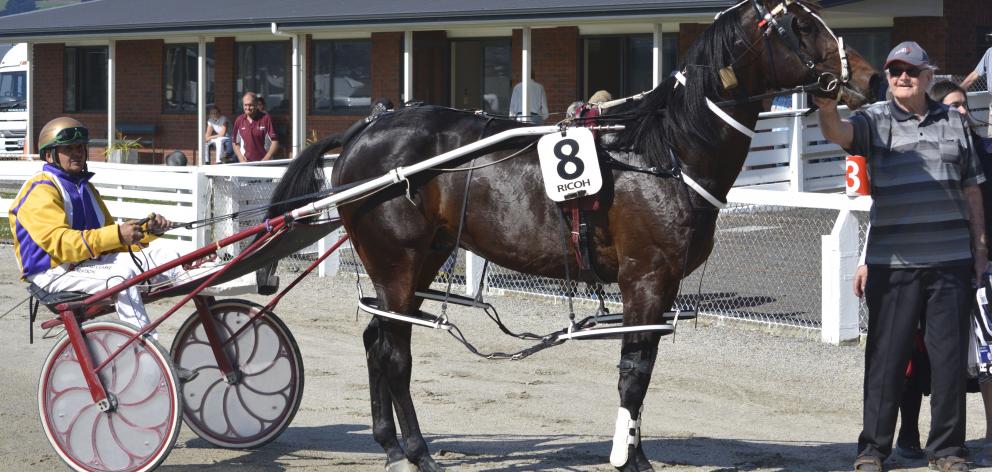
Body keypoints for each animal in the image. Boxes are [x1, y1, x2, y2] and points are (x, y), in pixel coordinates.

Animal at [270, 1, 876, 470]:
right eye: (801, 24)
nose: (869, 77)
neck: (662, 152)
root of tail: (366, 130)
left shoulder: (662, 285)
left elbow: (642, 371)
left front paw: (634, 450)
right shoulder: (645, 279)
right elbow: (635, 374)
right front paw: (629, 458)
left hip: (422, 261)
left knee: (378, 340)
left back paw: (392, 446)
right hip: (397, 263)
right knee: (394, 353)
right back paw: (416, 450)